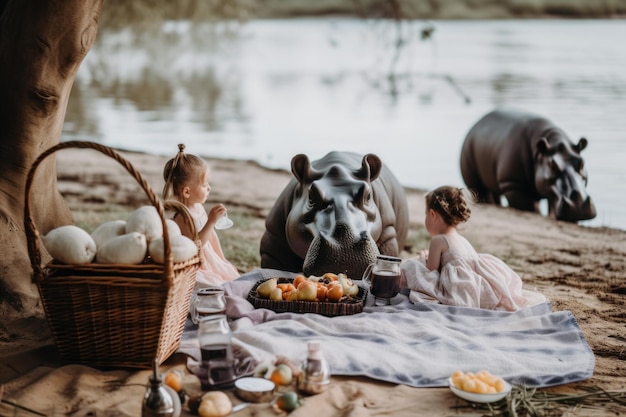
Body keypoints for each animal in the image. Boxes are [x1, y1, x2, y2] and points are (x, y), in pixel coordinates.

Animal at [458, 109, 596, 223]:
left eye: (582, 162)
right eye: (552, 165)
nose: (578, 205)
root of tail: (475, 125)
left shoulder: (551, 193)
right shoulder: (513, 184)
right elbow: (531, 208)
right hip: (475, 181)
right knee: (482, 193)